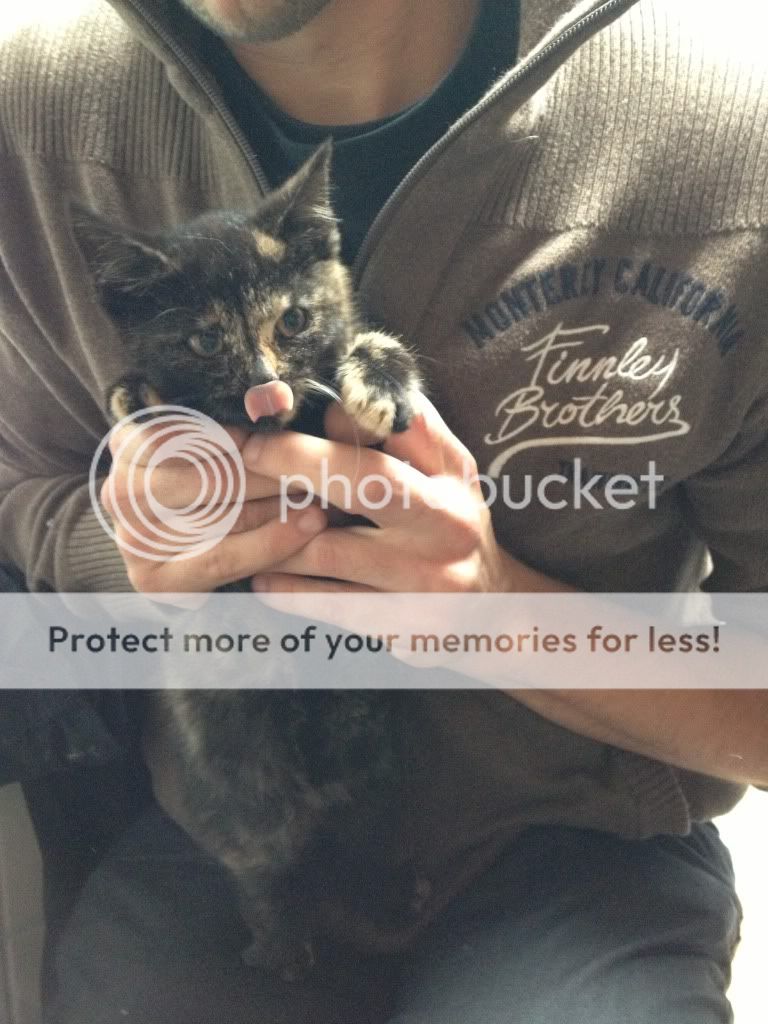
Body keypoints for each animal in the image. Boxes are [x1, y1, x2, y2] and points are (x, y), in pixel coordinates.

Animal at [71, 143, 433, 980]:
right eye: (205, 342)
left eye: (292, 320)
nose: (266, 388)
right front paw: (138, 394)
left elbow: (370, 351)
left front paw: (379, 377)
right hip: (244, 773)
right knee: (264, 860)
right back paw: (283, 945)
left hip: (374, 758)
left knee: (367, 841)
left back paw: (392, 906)